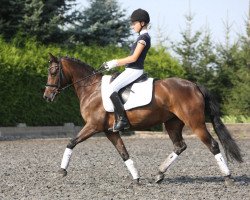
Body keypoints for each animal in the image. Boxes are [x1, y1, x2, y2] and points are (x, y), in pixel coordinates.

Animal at [43, 52, 242, 186]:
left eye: (53, 72)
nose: (46, 97)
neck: (91, 88)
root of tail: (193, 85)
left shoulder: (93, 126)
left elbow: (71, 142)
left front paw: (61, 171)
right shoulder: (109, 131)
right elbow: (124, 153)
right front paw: (136, 179)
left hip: (196, 123)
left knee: (213, 145)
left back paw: (228, 178)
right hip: (172, 123)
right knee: (179, 146)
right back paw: (159, 174)